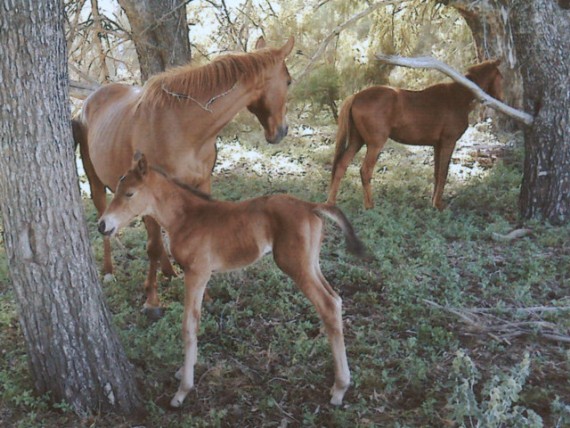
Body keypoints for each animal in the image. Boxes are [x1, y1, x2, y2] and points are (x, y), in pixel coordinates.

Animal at [74, 36, 292, 314]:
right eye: (288, 81)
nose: (282, 131)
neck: (182, 126)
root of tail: (89, 102)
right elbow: (153, 246)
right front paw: (152, 300)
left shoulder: (200, 184)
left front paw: (204, 295)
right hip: (95, 180)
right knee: (107, 216)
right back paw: (110, 270)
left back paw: (169, 271)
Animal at [97, 153, 368, 408]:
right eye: (116, 190)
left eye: (130, 193)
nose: (102, 225)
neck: (186, 218)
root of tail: (311, 206)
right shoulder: (199, 275)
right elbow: (196, 320)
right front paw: (184, 371)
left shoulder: (197, 273)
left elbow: (188, 324)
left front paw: (183, 390)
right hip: (311, 263)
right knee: (336, 299)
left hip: (295, 265)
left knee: (327, 305)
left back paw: (340, 388)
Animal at [324, 59, 502, 211]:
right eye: (500, 76)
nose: (501, 99)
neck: (458, 98)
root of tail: (356, 97)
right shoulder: (448, 142)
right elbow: (443, 173)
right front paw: (439, 205)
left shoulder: (437, 145)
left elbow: (437, 173)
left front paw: (433, 203)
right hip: (375, 144)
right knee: (365, 171)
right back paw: (370, 206)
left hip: (357, 141)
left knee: (341, 166)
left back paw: (331, 203)